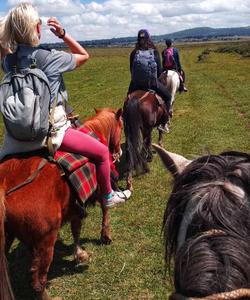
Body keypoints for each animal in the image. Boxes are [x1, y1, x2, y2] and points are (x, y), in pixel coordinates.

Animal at [0, 108, 123, 300]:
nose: (119, 152)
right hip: (46, 240)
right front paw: (105, 235)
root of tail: (5, 184)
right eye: (122, 126)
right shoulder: (100, 189)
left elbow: (76, 228)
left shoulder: (75, 206)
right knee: (37, 279)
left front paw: (79, 253)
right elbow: (105, 208)